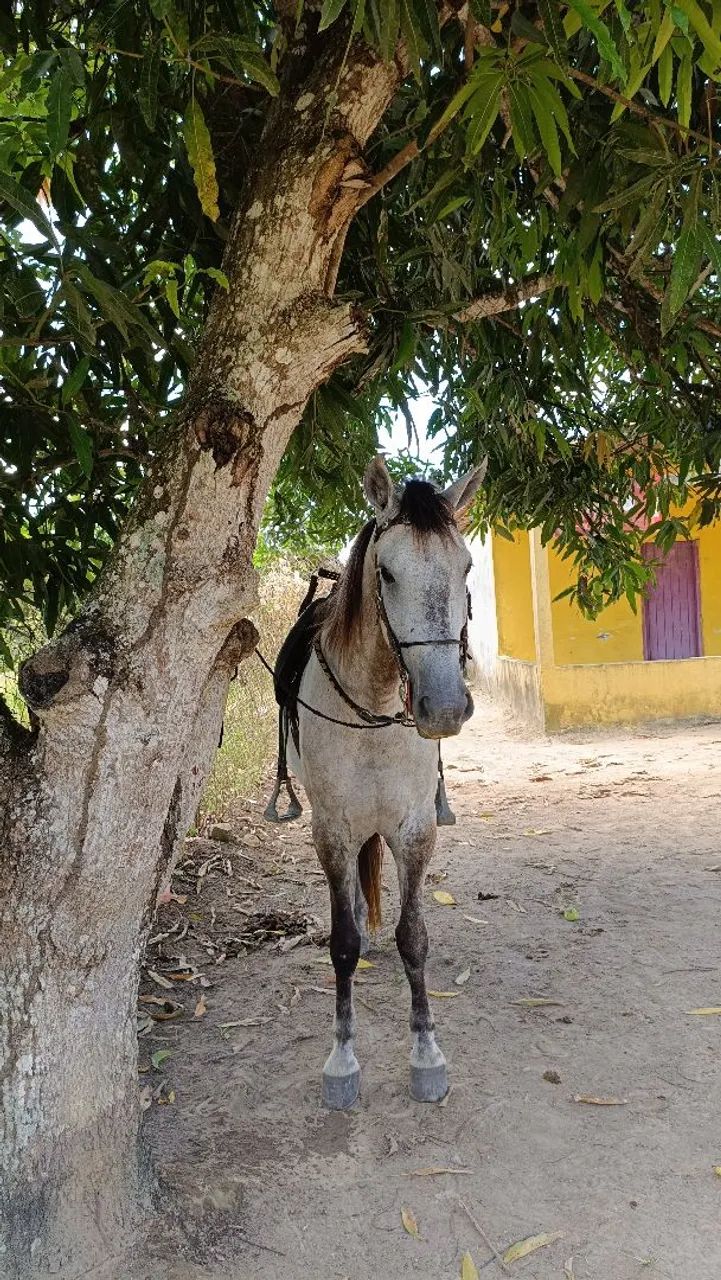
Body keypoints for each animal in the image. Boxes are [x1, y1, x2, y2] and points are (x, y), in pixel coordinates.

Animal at [266, 454, 486, 1109]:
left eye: (466, 566)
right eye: (386, 573)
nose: (444, 706)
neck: (372, 709)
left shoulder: (414, 831)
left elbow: (415, 938)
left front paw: (426, 1054)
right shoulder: (334, 831)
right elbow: (341, 942)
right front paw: (342, 1061)